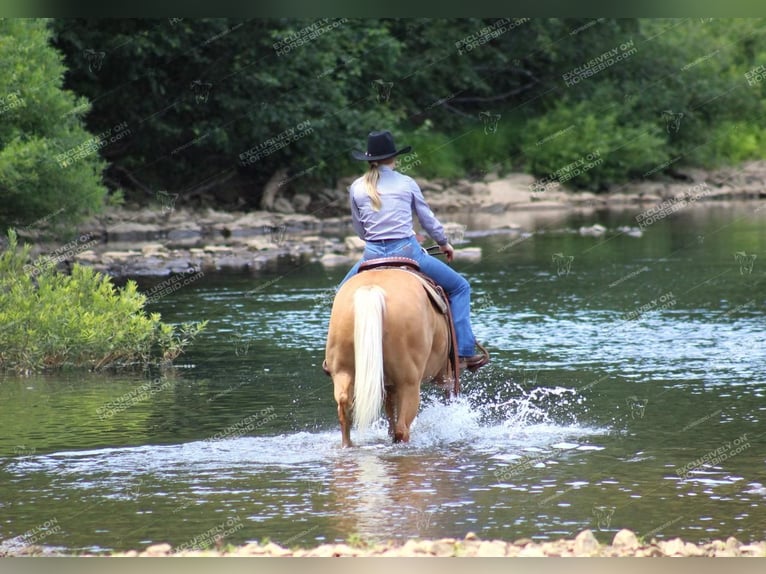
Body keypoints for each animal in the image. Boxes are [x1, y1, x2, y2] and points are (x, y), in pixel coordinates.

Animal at [324, 266, 456, 450]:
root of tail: (371, 290)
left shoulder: (387, 384)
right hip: (409, 384)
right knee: (402, 429)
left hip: (342, 372)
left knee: (344, 412)